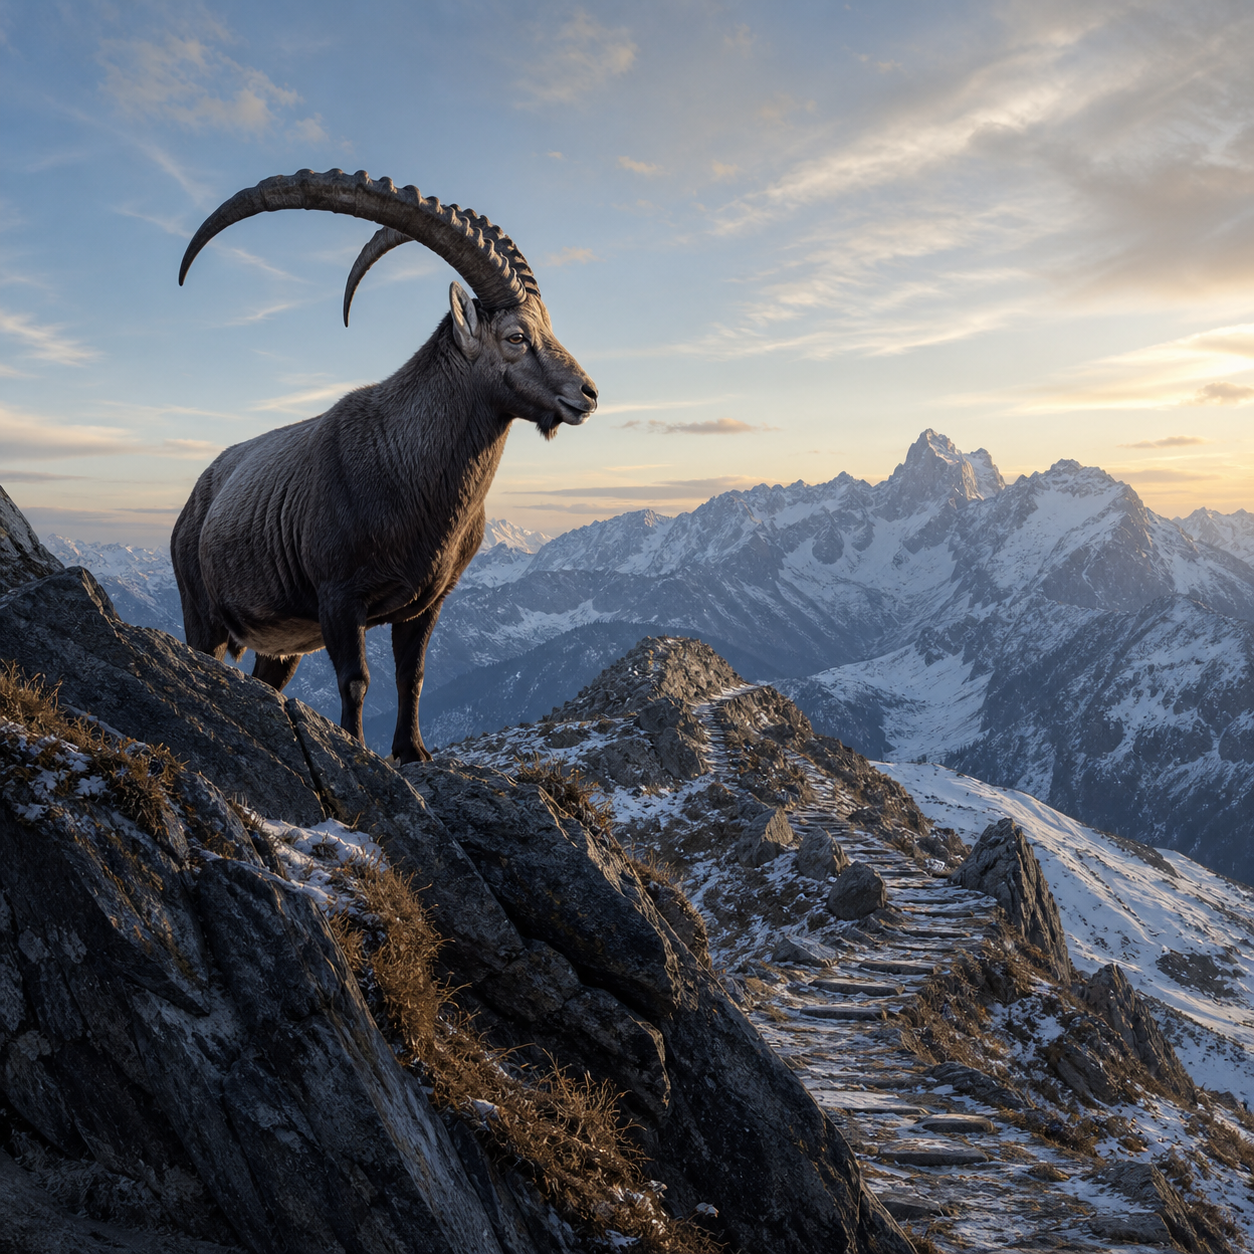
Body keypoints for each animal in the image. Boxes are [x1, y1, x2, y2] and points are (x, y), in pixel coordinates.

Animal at [172, 169, 597, 763]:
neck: (406, 468)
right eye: (516, 336)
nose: (588, 393)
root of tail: (196, 497)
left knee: (267, 679)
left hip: (282, 644)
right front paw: (354, 748)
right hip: (201, 610)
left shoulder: (425, 605)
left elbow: (411, 676)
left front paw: (412, 751)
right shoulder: (339, 599)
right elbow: (356, 680)